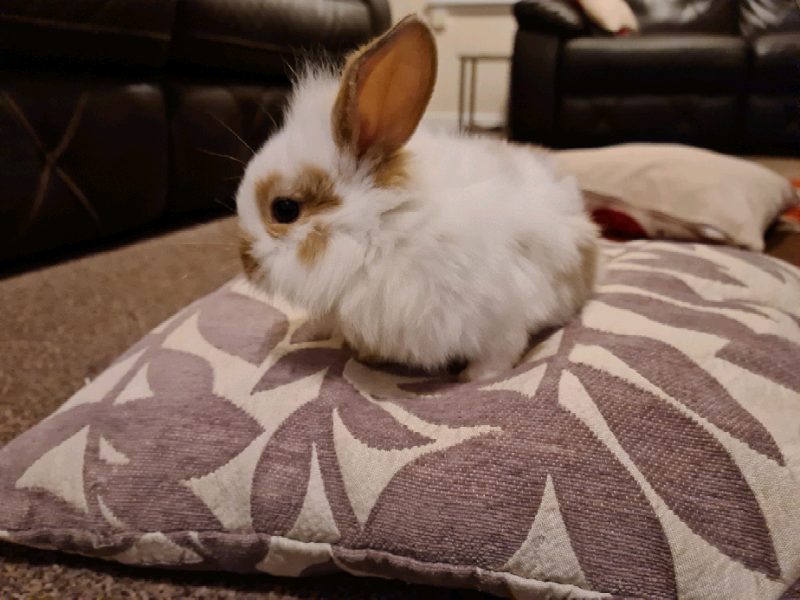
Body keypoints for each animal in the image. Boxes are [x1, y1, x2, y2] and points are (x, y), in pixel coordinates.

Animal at [235, 14, 599, 382]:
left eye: (284, 209)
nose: (246, 263)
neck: (382, 229)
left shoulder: (501, 318)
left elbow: (499, 354)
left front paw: (475, 379)